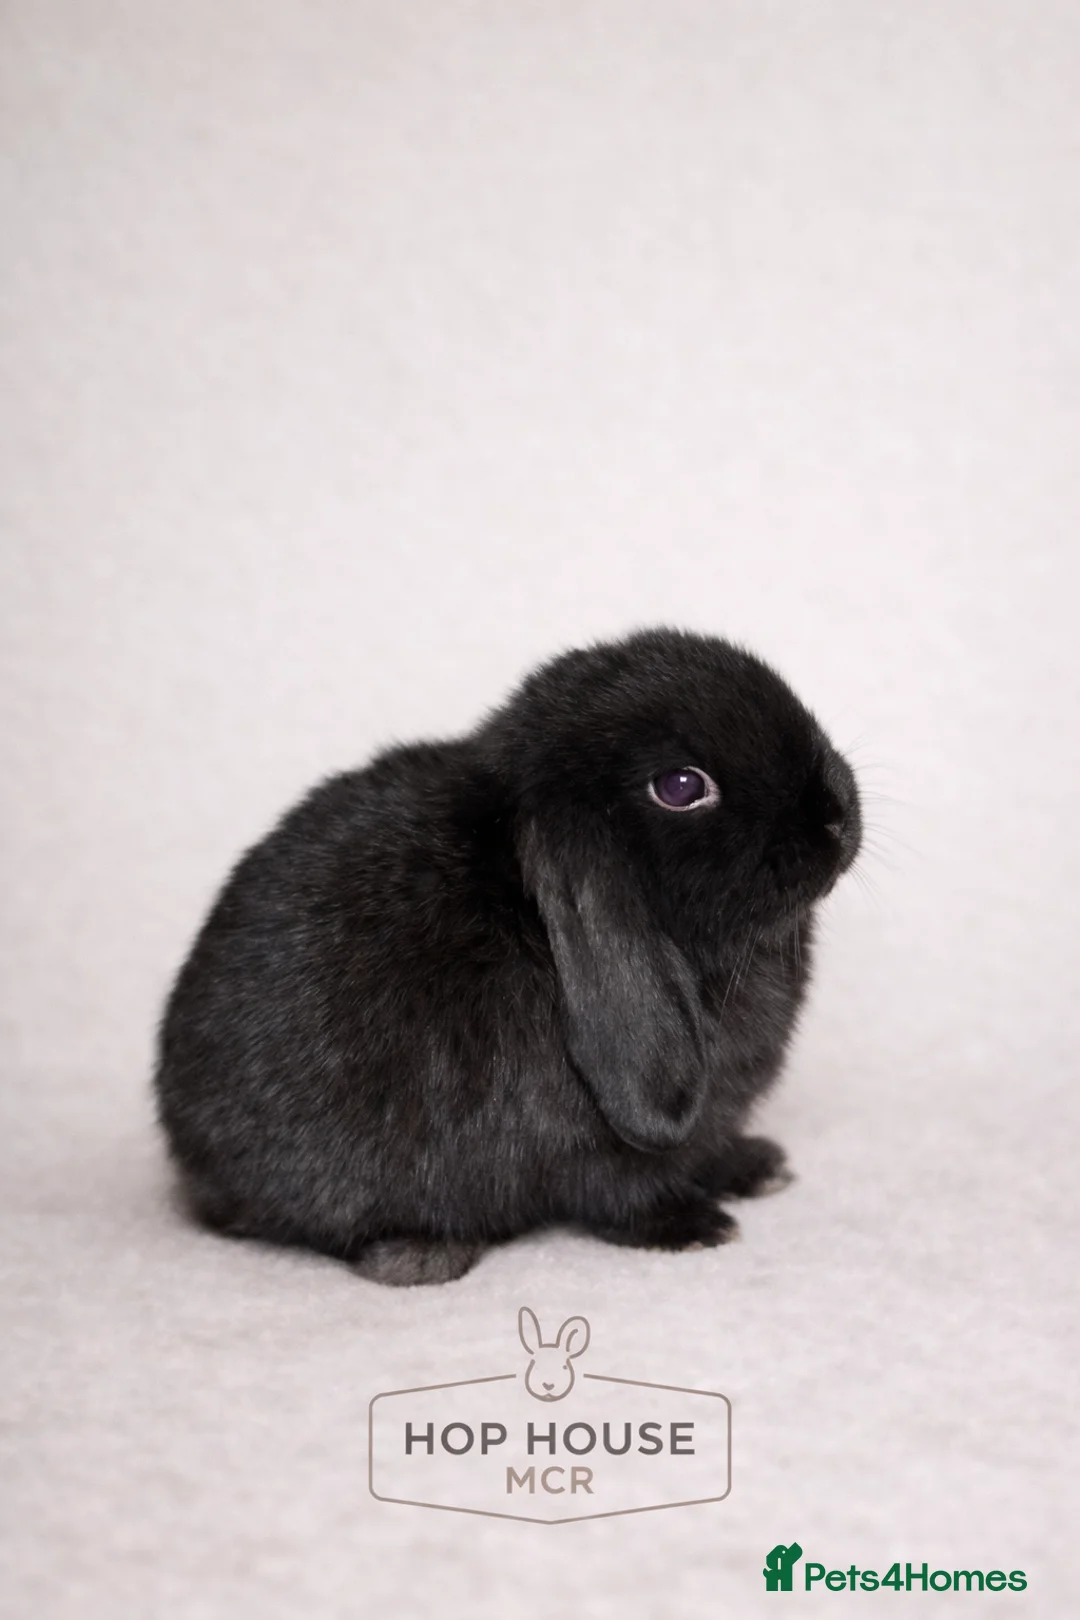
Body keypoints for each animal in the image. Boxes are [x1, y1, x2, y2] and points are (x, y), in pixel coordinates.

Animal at [154, 627, 861, 1286]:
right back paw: (420, 1254)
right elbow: (621, 1193)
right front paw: (693, 1227)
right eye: (682, 786)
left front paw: (754, 1166)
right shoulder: (589, 1153)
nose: (835, 816)